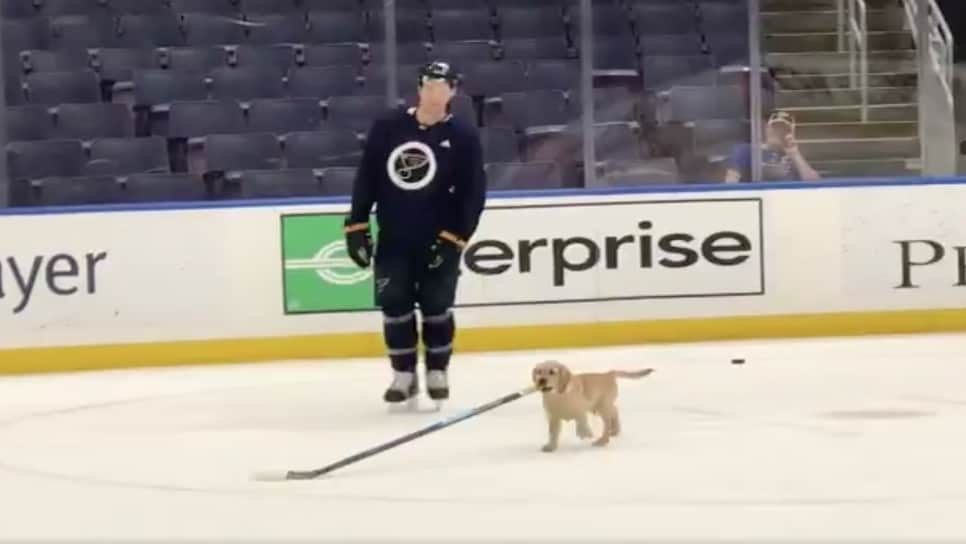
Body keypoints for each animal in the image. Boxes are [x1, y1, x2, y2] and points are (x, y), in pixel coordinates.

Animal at [528, 360, 656, 452]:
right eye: (539, 371)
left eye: (552, 372)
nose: (541, 380)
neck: (558, 396)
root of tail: (609, 373)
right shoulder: (554, 418)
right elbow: (553, 433)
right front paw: (551, 446)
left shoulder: (582, 408)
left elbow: (581, 420)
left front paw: (585, 433)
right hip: (598, 407)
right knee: (615, 411)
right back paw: (615, 431)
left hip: (602, 406)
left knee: (607, 422)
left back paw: (602, 440)